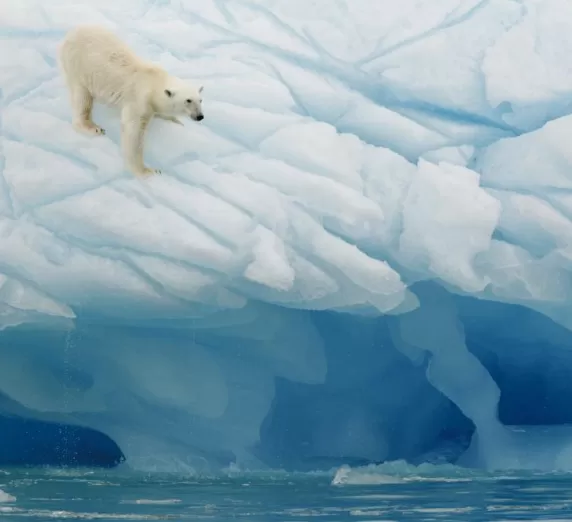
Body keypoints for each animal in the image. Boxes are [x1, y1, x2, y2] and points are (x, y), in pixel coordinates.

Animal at [58, 24, 204, 177]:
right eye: (188, 100)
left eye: (200, 100)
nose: (200, 116)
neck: (154, 82)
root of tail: (70, 35)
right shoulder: (139, 101)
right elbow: (134, 133)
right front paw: (148, 171)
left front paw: (176, 120)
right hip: (78, 66)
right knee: (82, 97)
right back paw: (93, 127)